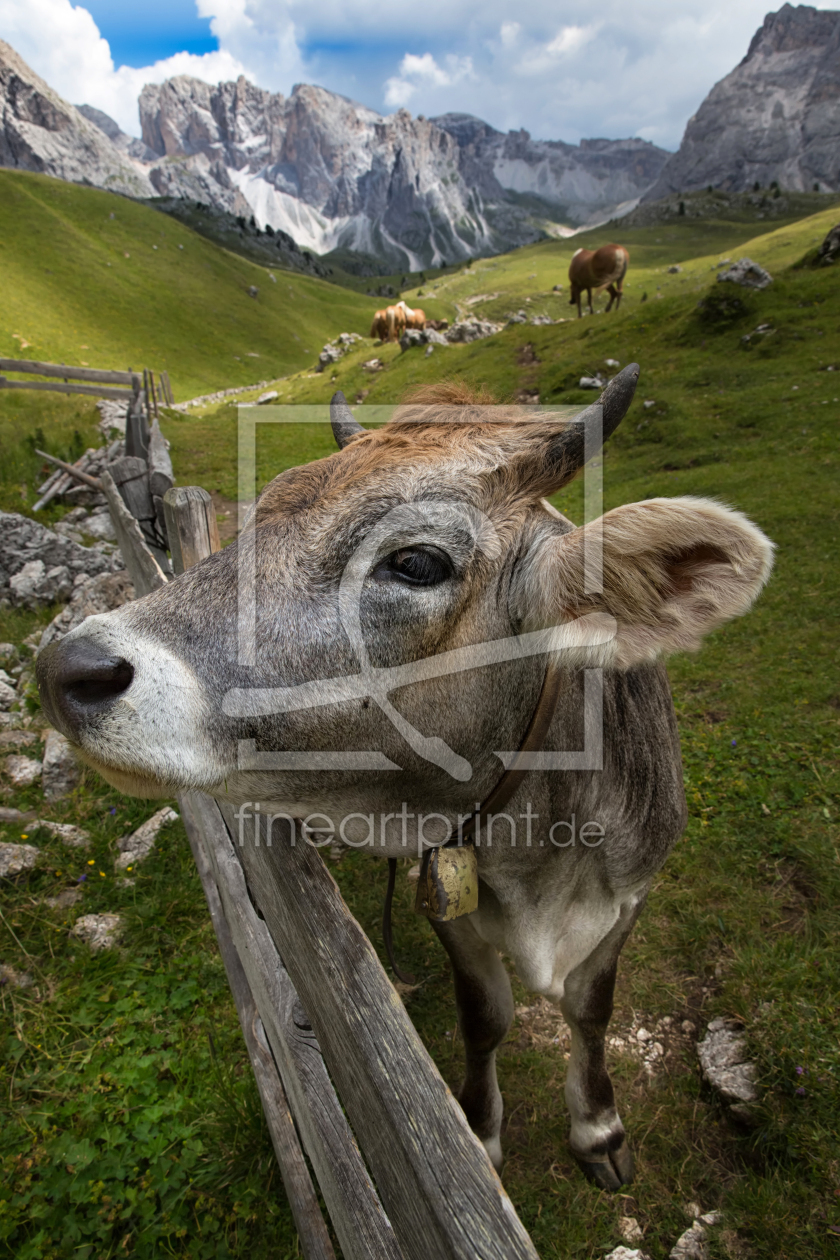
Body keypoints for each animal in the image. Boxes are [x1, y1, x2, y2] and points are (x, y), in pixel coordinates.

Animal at [39, 367, 775, 1189]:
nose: (69, 668)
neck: (543, 862)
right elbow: (484, 1016)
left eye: (416, 562)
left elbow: (591, 1009)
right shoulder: (447, 897)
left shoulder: (630, 894)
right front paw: (481, 1134)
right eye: (258, 521)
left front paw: (599, 1130)